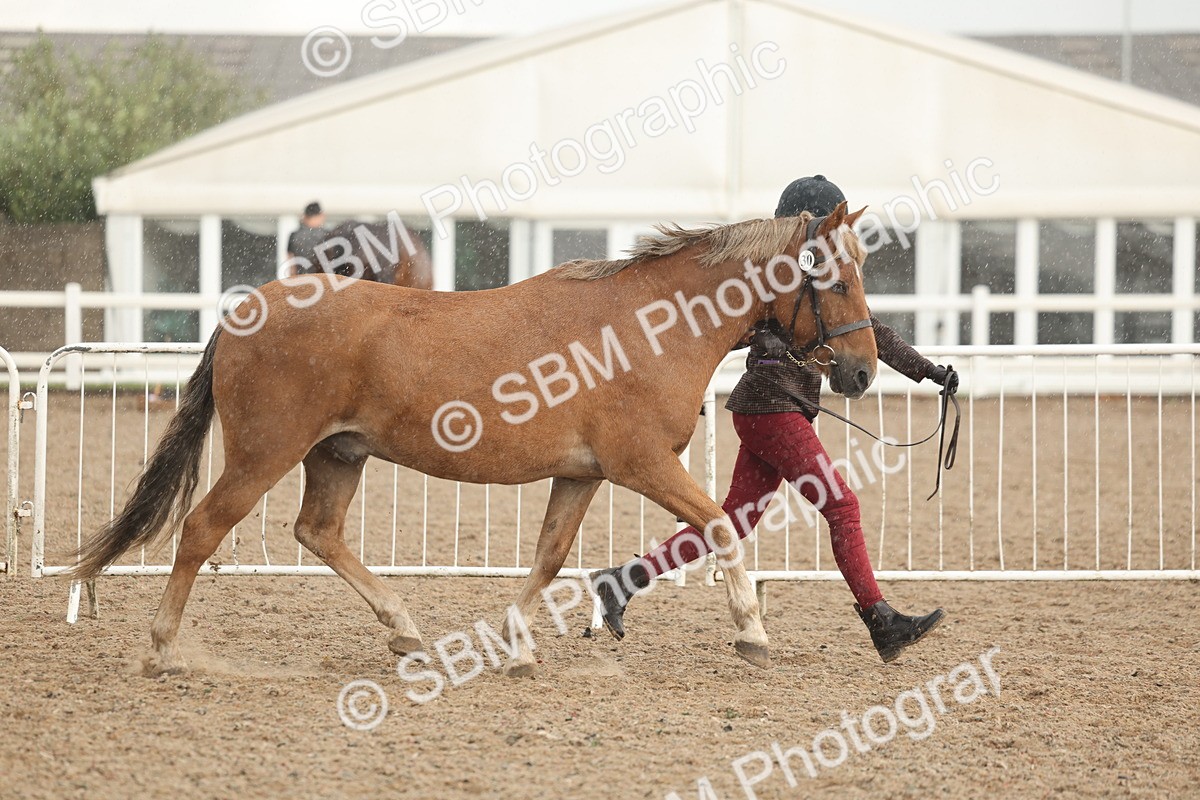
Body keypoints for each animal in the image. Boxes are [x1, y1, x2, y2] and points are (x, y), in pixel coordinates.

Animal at [67, 203, 877, 677]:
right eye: (836, 280)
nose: (863, 371)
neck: (651, 325)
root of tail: (243, 313)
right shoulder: (641, 464)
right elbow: (719, 526)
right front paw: (751, 630)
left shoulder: (582, 474)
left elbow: (549, 555)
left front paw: (517, 646)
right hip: (265, 453)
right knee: (202, 529)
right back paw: (162, 648)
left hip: (338, 454)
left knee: (317, 531)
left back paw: (404, 631)